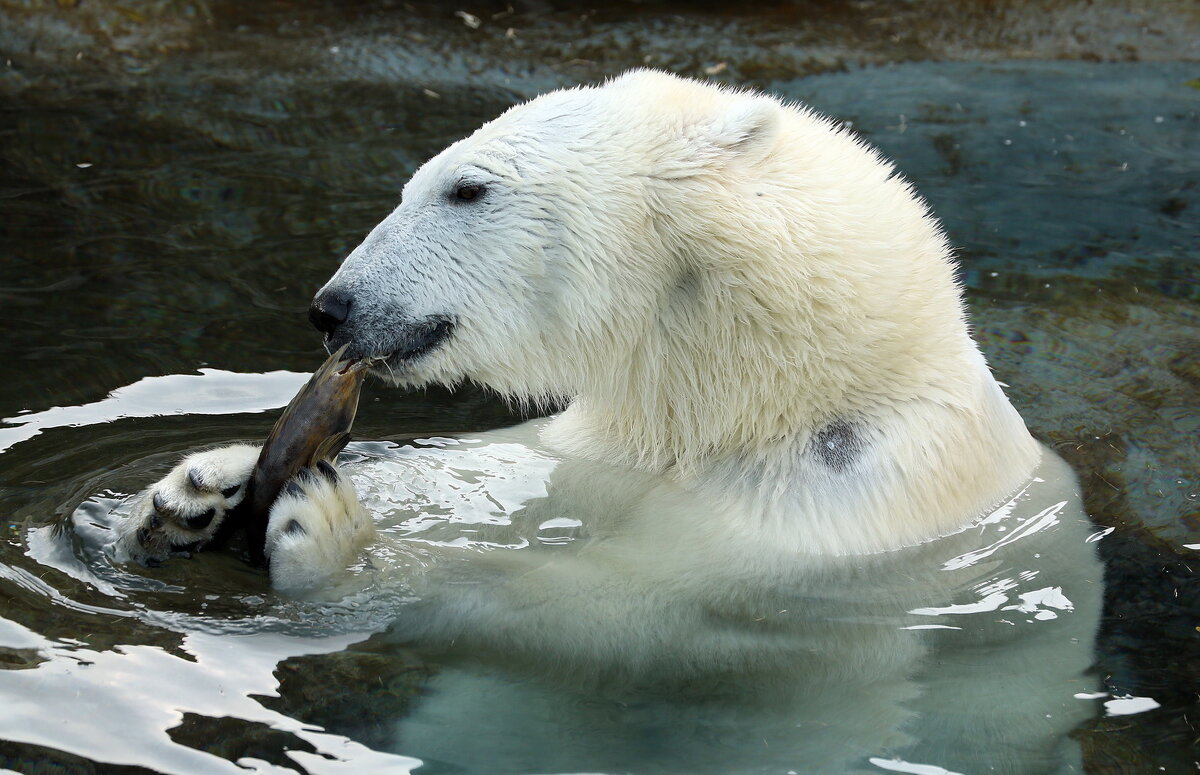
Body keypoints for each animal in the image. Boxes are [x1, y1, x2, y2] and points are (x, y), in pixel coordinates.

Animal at [117, 69, 1099, 772]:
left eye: (466, 189)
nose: (333, 307)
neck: (776, 391)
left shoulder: (841, 507)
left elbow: (637, 610)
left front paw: (337, 545)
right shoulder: (614, 437)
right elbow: (499, 478)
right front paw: (199, 486)